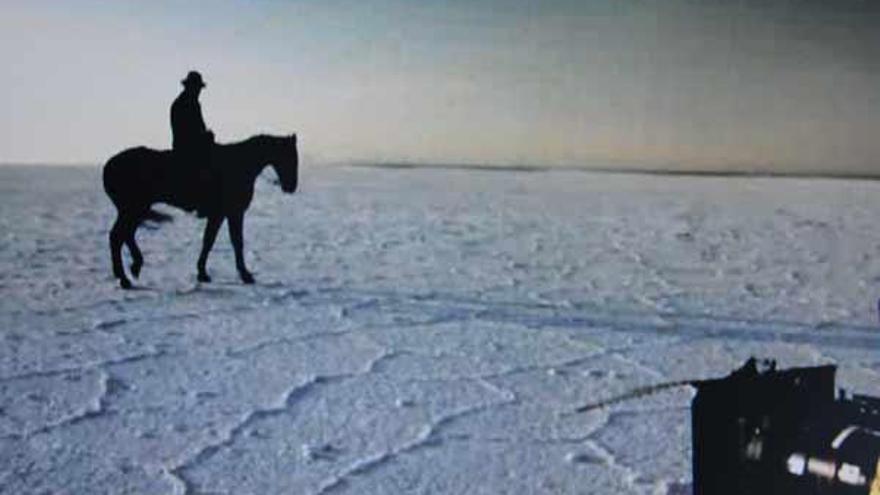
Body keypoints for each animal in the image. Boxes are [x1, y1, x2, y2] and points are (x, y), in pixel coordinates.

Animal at [103, 134, 300, 288]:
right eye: (290, 157)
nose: (291, 187)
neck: (239, 164)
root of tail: (108, 166)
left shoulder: (220, 215)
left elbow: (209, 241)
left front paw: (203, 273)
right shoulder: (232, 213)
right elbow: (234, 242)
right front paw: (245, 275)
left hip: (133, 210)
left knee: (124, 235)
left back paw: (132, 268)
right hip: (133, 209)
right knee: (118, 236)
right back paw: (125, 277)